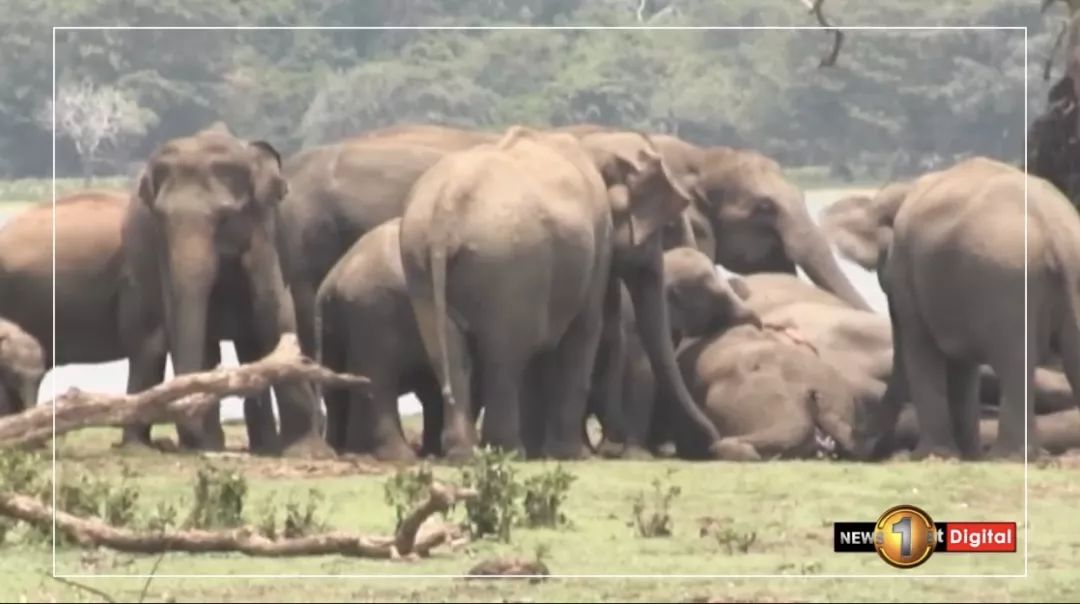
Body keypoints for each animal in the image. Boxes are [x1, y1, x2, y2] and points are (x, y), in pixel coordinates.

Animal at [122, 124, 324, 458]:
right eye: (160, 218)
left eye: (226, 217)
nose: (178, 441)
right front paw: (207, 443)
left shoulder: (265, 225)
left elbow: (273, 312)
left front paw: (305, 451)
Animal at [315, 219, 442, 460]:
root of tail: (334, 281)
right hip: (374, 311)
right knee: (378, 379)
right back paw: (397, 457)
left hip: (333, 328)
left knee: (335, 389)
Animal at [816, 158, 1080, 460]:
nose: (846, 445)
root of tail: (1057, 231)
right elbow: (961, 366)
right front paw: (967, 455)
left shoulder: (908, 271)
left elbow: (918, 346)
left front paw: (931, 456)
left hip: (1008, 282)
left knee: (1014, 362)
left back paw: (1006, 456)